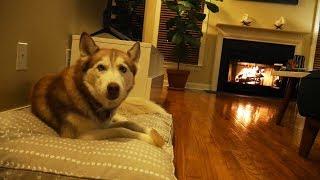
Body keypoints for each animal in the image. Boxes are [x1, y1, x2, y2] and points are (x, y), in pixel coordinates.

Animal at [31, 32, 165, 148]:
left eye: (123, 68)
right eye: (101, 67)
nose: (113, 87)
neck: (87, 96)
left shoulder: (104, 124)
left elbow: (129, 123)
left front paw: (153, 132)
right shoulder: (78, 136)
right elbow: (120, 129)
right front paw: (148, 138)